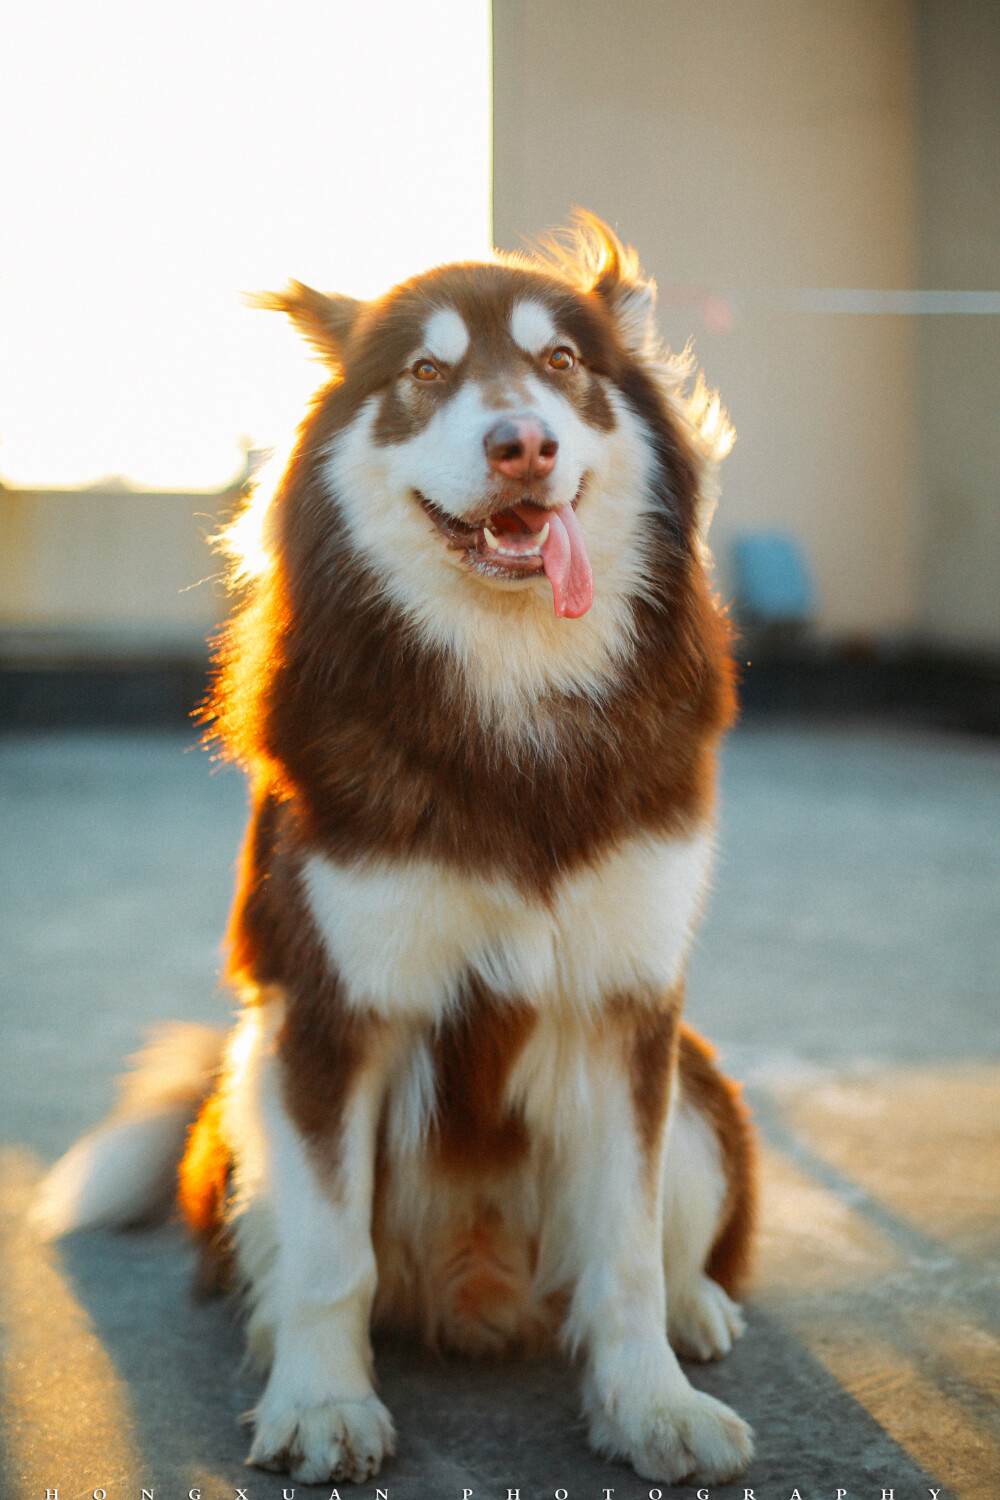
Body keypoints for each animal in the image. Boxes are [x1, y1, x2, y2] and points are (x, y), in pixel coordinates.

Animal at [37, 219, 758, 1488]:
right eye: (427, 373)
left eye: (562, 362)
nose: (522, 443)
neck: (508, 702)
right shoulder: (329, 1010)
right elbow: (333, 1254)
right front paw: (324, 1403)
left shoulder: (628, 1006)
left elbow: (624, 1248)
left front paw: (648, 1404)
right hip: (251, 1068)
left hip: (698, 1080)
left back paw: (694, 1311)